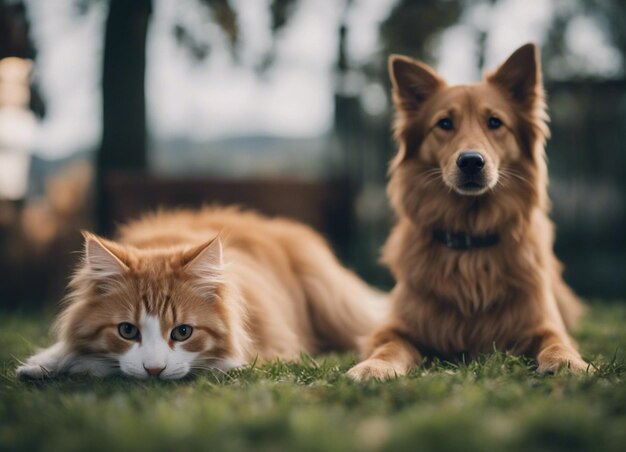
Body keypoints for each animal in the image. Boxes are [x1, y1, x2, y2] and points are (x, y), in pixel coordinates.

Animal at [17, 207, 386, 380]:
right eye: (127, 330)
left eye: (183, 332)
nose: (154, 371)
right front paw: (42, 364)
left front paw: (77, 364)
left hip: (331, 298)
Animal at [346, 43, 588, 382]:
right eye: (445, 123)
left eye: (495, 122)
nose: (471, 161)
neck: (471, 241)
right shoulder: (396, 327)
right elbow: (388, 346)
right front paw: (374, 366)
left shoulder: (544, 324)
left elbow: (557, 342)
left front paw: (571, 364)